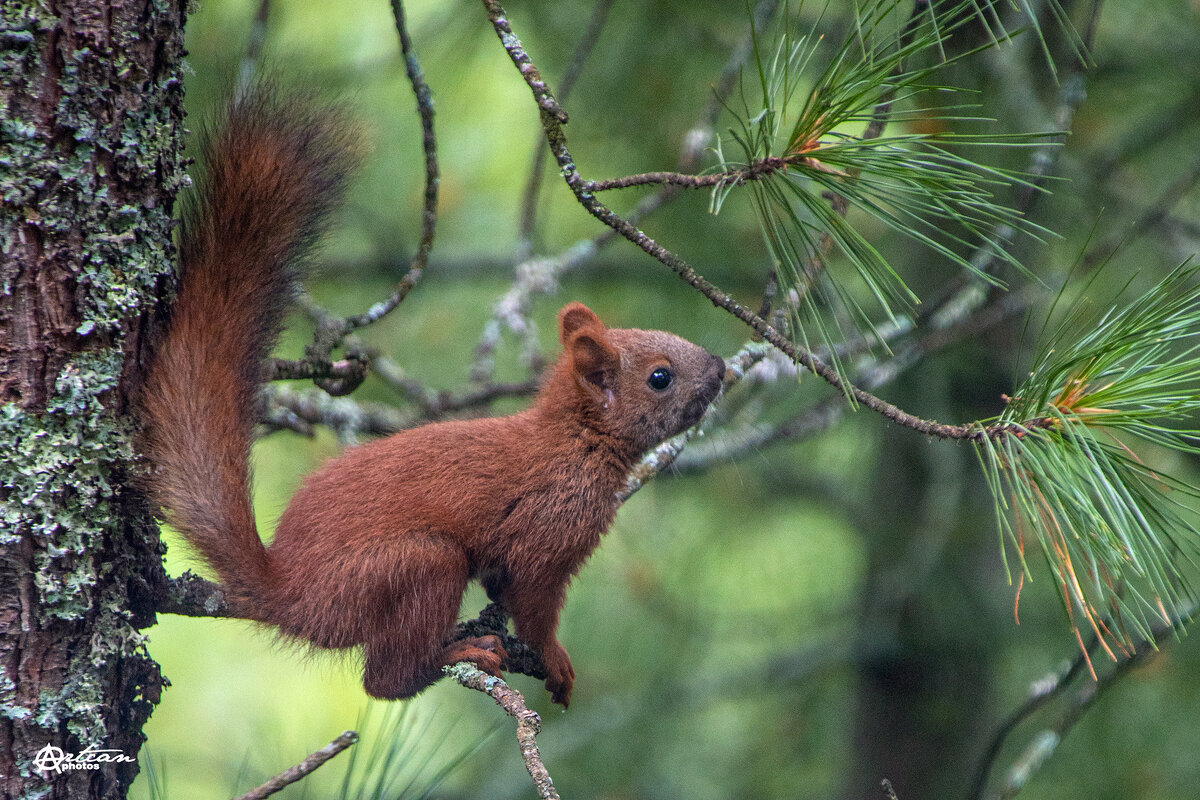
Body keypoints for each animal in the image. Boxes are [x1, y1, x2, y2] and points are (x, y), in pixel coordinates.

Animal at [140, 82, 720, 705]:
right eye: (660, 377)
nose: (719, 368)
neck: (575, 439)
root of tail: (288, 594)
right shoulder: (546, 533)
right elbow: (534, 605)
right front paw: (555, 660)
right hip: (416, 565)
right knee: (383, 679)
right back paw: (453, 654)